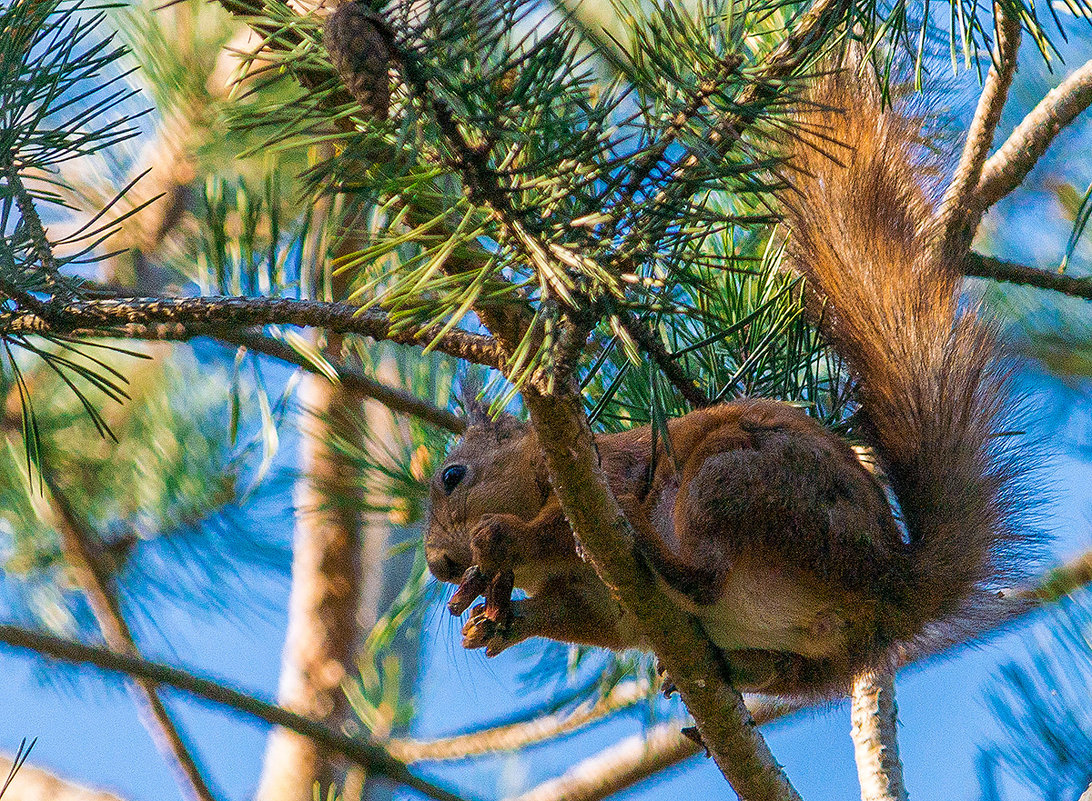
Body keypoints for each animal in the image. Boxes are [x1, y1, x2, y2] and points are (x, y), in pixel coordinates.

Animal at [421, 69, 1035, 698]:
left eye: (452, 476)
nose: (439, 564)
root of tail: (890, 589)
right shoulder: (597, 605)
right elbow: (573, 617)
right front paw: (491, 624)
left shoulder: (605, 485)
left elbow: (559, 533)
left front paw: (500, 538)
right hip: (810, 650)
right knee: (778, 663)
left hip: (733, 481)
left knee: (708, 574)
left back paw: (659, 554)